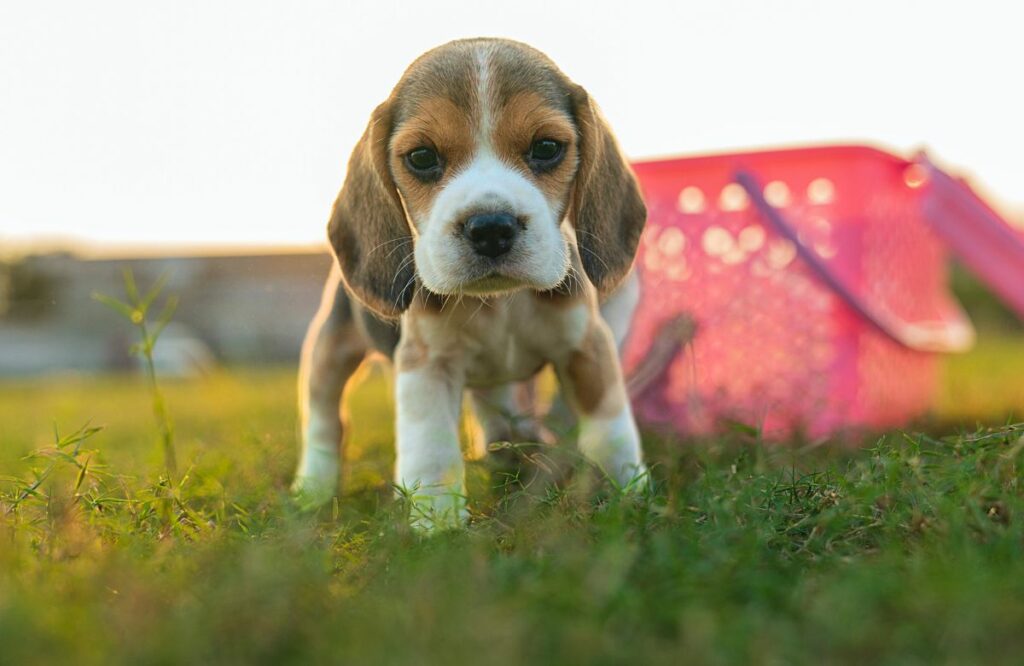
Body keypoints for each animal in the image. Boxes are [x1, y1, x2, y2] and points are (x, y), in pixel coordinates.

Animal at [294, 37, 647, 528]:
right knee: (326, 420)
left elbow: (609, 424)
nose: (491, 228)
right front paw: (437, 524)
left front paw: (628, 491)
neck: (501, 304)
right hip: (330, 348)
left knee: (494, 407)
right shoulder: (425, 364)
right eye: (422, 157)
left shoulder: (587, 345)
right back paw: (313, 487)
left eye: (547, 147)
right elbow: (432, 449)